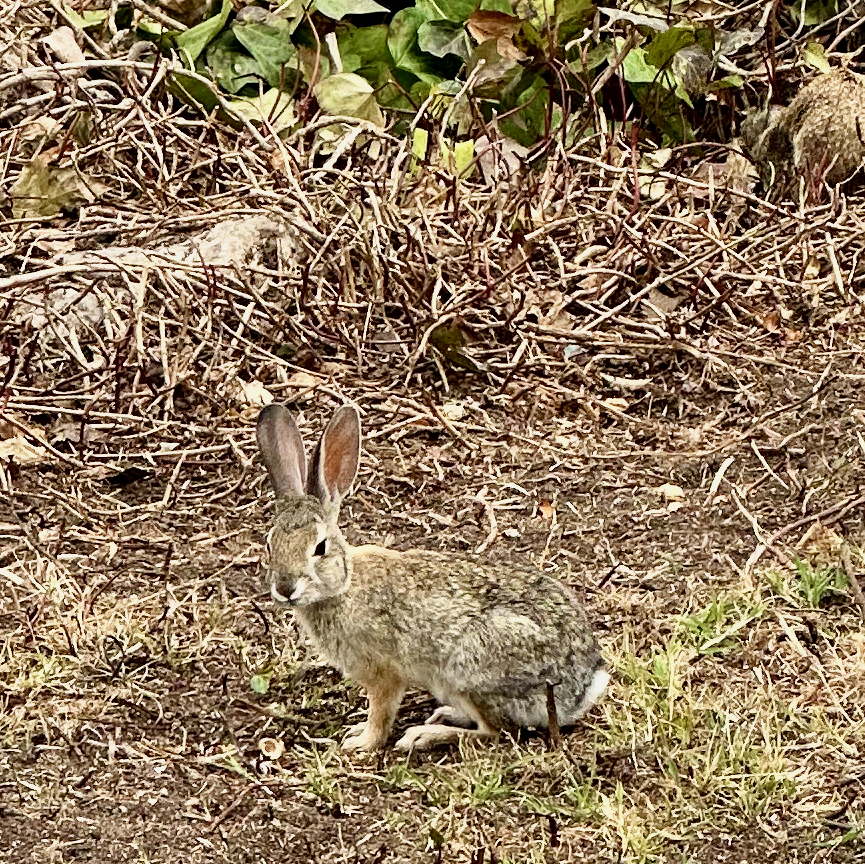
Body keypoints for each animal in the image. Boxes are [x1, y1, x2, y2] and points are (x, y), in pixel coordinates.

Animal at [256, 403, 609, 752]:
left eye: (320, 547)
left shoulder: (384, 675)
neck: (343, 588)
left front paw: (361, 742)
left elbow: (381, 713)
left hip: (470, 670)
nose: (285, 588)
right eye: (270, 544)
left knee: (496, 732)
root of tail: (581, 687)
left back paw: (425, 735)